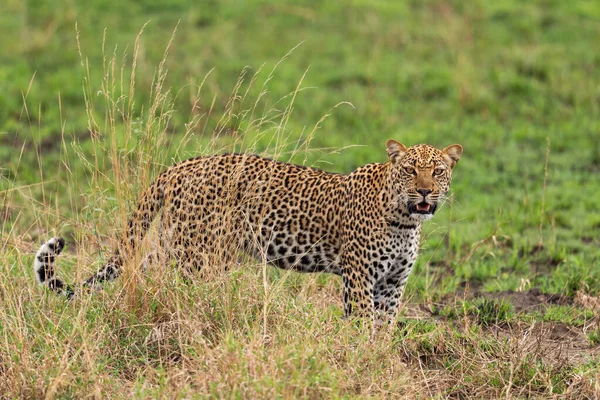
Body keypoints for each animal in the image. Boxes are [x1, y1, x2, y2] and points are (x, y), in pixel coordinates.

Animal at [32, 139, 462, 320]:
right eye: (411, 170)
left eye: (439, 171)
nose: (425, 191)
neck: (405, 220)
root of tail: (181, 166)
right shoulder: (359, 279)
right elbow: (361, 325)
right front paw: (360, 362)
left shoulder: (392, 284)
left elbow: (384, 327)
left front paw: (378, 360)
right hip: (198, 253)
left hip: (178, 243)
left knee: (141, 269)